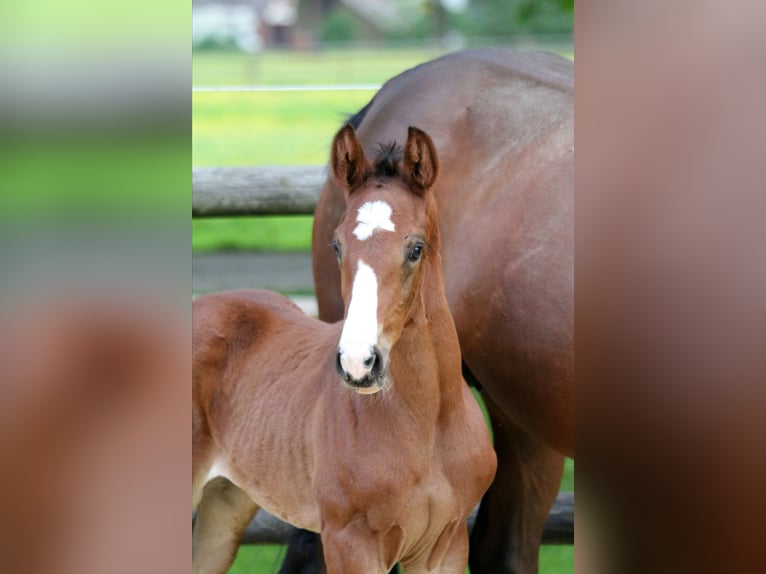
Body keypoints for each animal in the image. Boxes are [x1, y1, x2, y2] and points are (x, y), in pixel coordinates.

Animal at [192, 126, 498, 574]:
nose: (358, 364)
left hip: (225, 503)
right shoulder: (349, 541)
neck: (427, 427)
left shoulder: (447, 542)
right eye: (336, 246)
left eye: (416, 248)